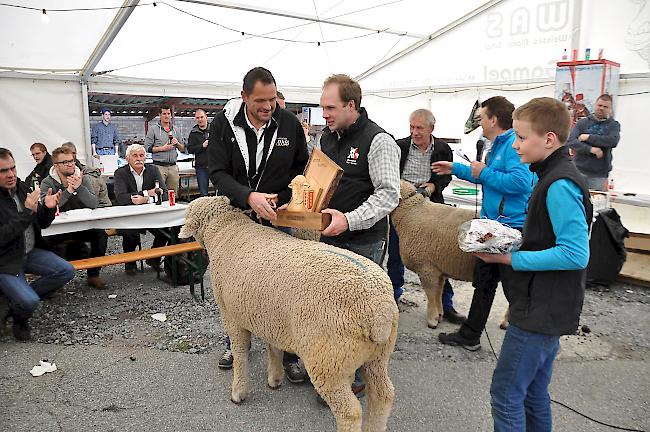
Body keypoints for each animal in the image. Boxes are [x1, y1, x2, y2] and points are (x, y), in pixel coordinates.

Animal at [180, 197, 398, 432]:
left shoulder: (231, 316)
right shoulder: (270, 317)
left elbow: (240, 353)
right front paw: (275, 378)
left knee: (350, 412)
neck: (225, 231)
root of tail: (379, 310)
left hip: (327, 359)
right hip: (375, 357)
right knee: (384, 395)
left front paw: (238, 391)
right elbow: (274, 348)